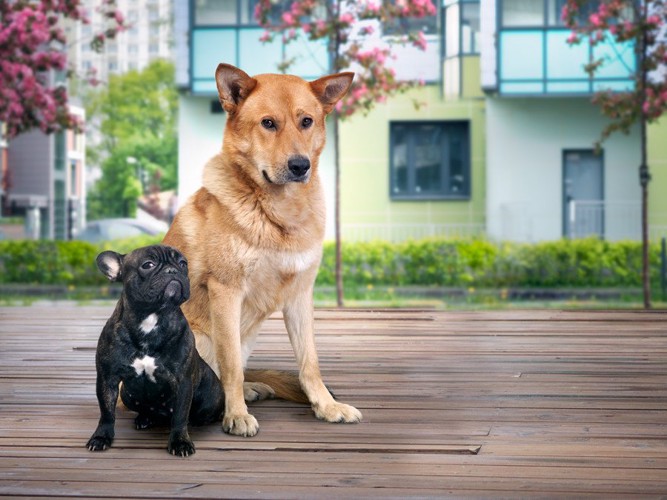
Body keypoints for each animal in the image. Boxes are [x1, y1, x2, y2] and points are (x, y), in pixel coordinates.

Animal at [166, 64, 362, 436]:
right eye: (268, 123)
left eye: (306, 121)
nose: (300, 165)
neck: (281, 213)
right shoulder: (226, 291)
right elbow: (230, 366)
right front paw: (236, 415)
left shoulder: (300, 295)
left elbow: (309, 362)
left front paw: (326, 406)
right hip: (197, 338)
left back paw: (253, 388)